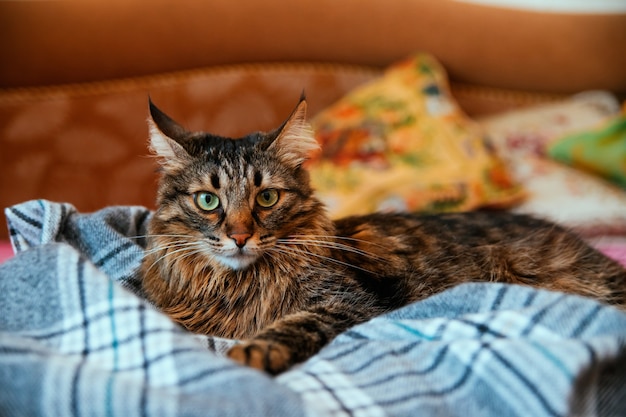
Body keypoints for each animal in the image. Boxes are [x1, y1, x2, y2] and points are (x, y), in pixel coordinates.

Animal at [140, 95, 624, 374]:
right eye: (208, 201)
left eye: (267, 199)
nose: (240, 237)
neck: (233, 284)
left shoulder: (349, 303)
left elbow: (294, 324)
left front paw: (251, 355)